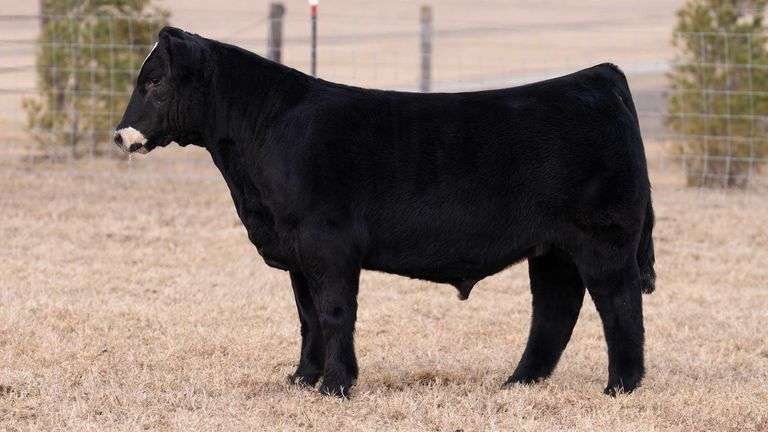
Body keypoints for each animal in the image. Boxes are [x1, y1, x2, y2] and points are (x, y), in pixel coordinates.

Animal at [114, 27, 656, 398]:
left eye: (154, 81)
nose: (120, 135)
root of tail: (597, 76)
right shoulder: (297, 252)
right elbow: (307, 316)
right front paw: (302, 378)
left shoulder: (327, 245)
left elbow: (334, 312)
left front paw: (336, 386)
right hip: (552, 249)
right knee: (555, 308)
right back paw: (519, 381)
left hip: (603, 239)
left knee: (619, 304)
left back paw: (620, 387)